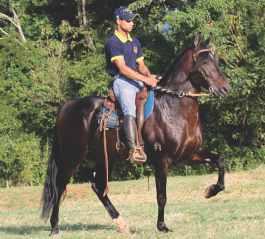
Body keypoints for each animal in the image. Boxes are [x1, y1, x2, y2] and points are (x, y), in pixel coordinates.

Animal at [40, 34, 229, 234]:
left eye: (216, 60)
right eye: (205, 62)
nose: (226, 88)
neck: (172, 107)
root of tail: (66, 107)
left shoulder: (190, 154)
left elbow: (220, 160)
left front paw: (211, 190)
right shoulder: (162, 160)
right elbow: (161, 195)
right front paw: (162, 226)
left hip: (104, 158)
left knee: (98, 187)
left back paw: (122, 224)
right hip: (72, 157)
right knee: (60, 186)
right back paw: (55, 227)